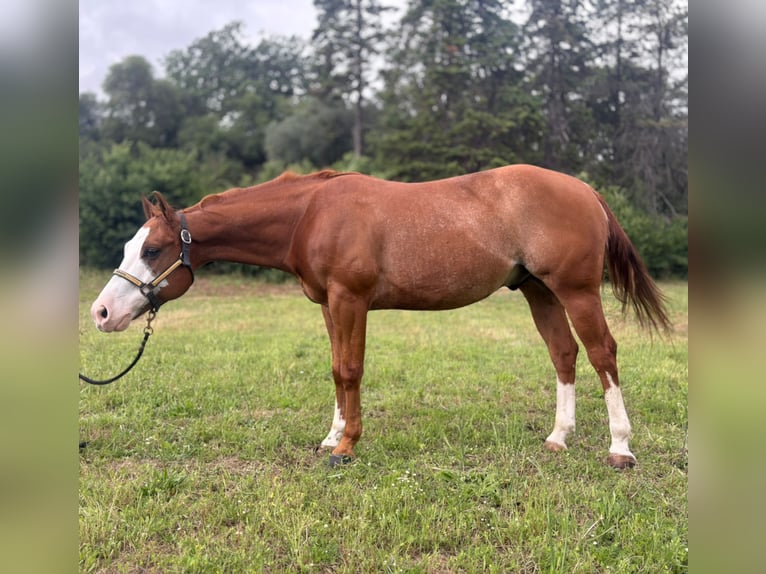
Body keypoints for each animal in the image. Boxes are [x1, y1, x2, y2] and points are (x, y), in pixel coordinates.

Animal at [89, 165, 670, 469]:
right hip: (539, 291)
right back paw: (558, 438)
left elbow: (351, 370)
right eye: (131, 246)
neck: (310, 214)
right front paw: (331, 436)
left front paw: (346, 447)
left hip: (576, 291)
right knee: (564, 355)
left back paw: (620, 448)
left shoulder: (351, 300)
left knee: (602, 354)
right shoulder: (329, 305)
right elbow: (334, 370)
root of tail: (586, 189)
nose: (101, 312)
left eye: (153, 250)